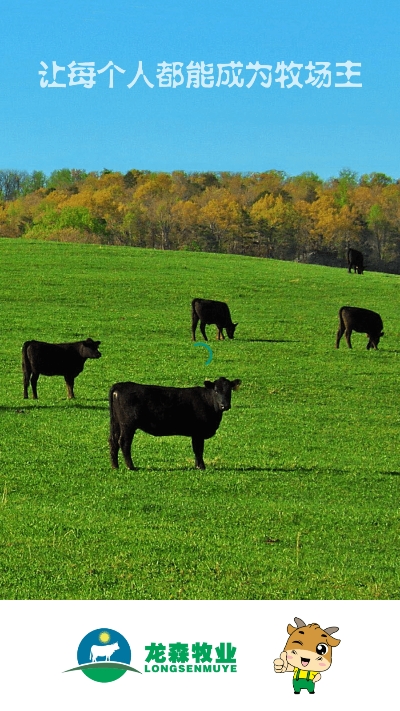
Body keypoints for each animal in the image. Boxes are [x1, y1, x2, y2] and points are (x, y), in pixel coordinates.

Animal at [108, 378, 241, 472]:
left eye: (229, 391)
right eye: (216, 390)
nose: (225, 405)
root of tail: (119, 385)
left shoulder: (195, 434)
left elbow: (196, 450)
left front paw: (197, 466)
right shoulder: (198, 432)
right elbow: (199, 450)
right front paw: (201, 467)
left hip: (116, 423)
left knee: (113, 441)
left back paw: (115, 466)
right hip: (128, 424)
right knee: (124, 442)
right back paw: (131, 467)